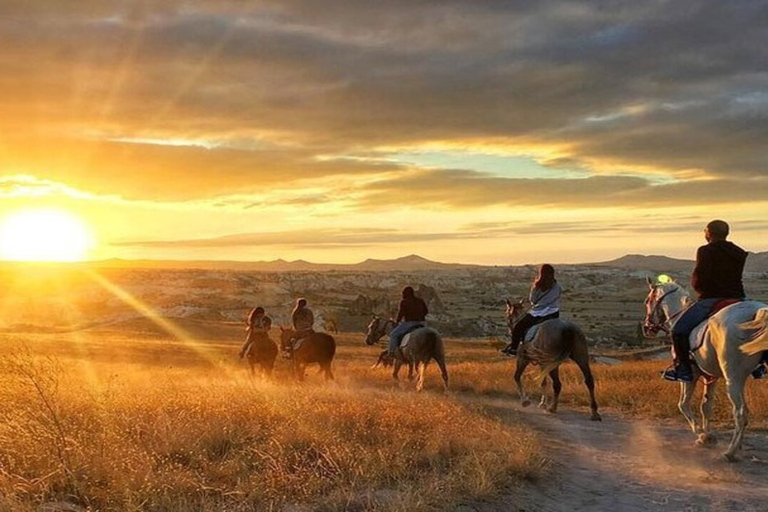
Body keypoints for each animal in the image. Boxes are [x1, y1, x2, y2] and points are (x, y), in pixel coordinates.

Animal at [640, 278, 768, 462]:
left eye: (647, 301)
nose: (647, 328)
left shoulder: (690, 374)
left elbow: (683, 404)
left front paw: (701, 434)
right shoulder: (710, 376)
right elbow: (706, 406)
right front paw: (708, 435)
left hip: (733, 378)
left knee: (741, 414)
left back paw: (730, 452)